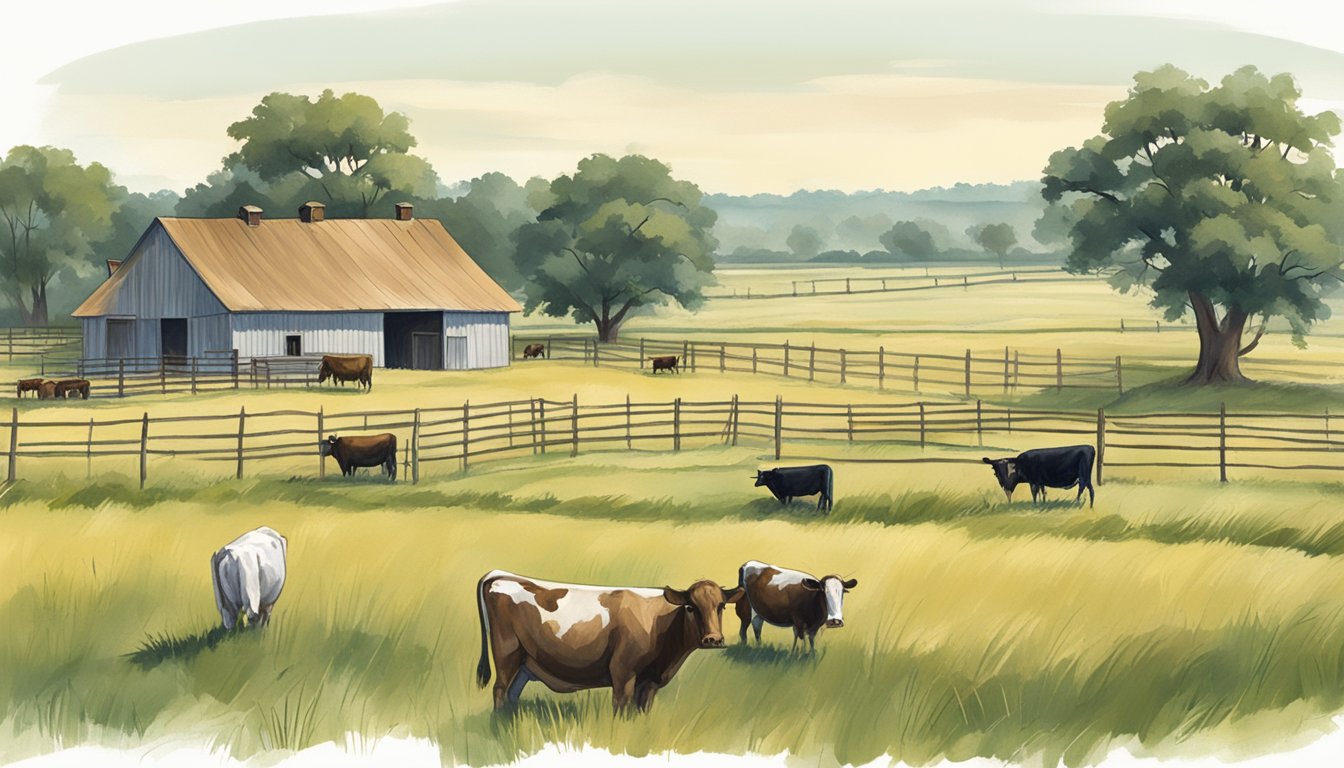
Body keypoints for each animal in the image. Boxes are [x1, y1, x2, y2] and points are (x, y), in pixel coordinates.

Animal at [475, 570, 747, 715]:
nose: (713, 639)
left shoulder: (649, 682)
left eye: (721, 606)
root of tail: (501, 575)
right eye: (690, 607)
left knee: (512, 694)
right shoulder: (622, 673)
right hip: (507, 654)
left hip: (525, 664)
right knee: (499, 690)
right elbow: (621, 710)